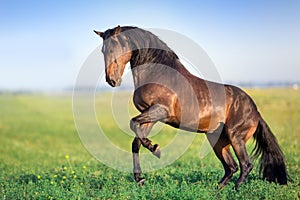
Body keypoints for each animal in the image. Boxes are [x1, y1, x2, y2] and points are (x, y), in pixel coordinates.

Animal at [94, 25, 288, 189]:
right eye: (103, 50)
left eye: (114, 48)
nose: (111, 80)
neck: (157, 74)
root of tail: (255, 111)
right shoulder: (149, 114)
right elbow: (136, 140)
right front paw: (140, 178)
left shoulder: (161, 111)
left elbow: (133, 124)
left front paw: (156, 150)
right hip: (218, 140)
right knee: (231, 167)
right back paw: (218, 189)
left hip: (236, 137)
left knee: (245, 165)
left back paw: (236, 188)